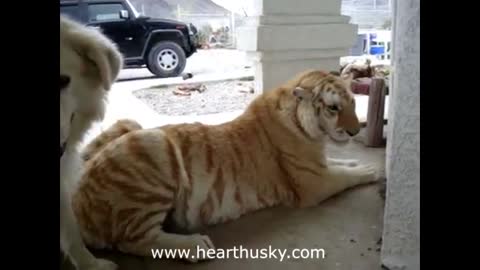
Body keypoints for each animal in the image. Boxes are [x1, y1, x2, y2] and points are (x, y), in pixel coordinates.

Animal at [71, 69, 378, 262]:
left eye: (353, 103)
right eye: (333, 108)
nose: (355, 131)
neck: (310, 132)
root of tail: (76, 202)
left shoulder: (318, 165)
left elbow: (338, 162)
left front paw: (355, 161)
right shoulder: (314, 183)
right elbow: (344, 176)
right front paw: (370, 170)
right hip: (152, 145)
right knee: (134, 240)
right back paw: (196, 246)